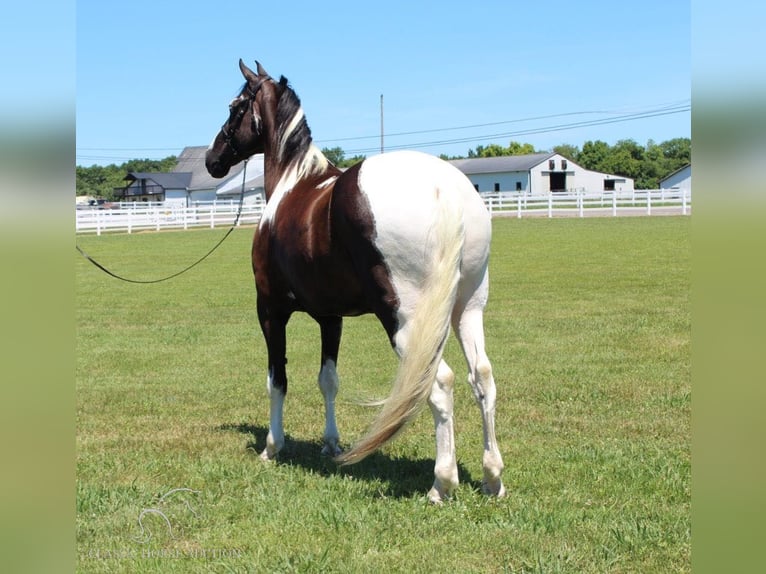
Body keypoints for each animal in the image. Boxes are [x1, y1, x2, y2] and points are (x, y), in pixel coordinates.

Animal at [206, 59, 504, 504]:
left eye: (235, 107)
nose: (213, 159)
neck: (294, 184)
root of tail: (444, 187)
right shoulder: (331, 318)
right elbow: (328, 380)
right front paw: (331, 443)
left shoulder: (270, 310)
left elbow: (277, 380)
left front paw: (272, 447)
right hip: (467, 308)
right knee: (481, 377)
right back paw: (492, 477)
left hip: (403, 317)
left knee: (439, 383)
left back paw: (441, 483)